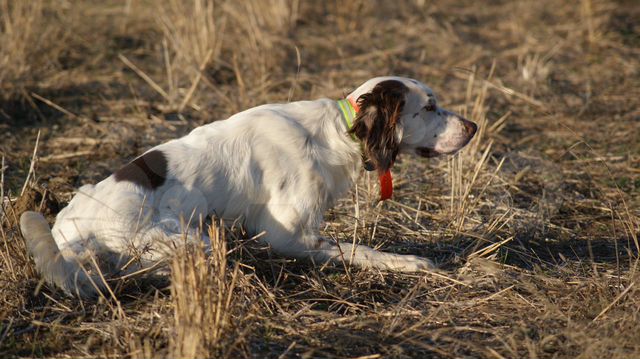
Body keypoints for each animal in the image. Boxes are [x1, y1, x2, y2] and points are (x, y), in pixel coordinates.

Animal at [18, 77, 476, 300]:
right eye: (430, 107)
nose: (473, 127)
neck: (335, 132)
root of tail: (70, 232)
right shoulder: (286, 235)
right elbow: (360, 251)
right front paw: (412, 262)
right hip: (192, 241)